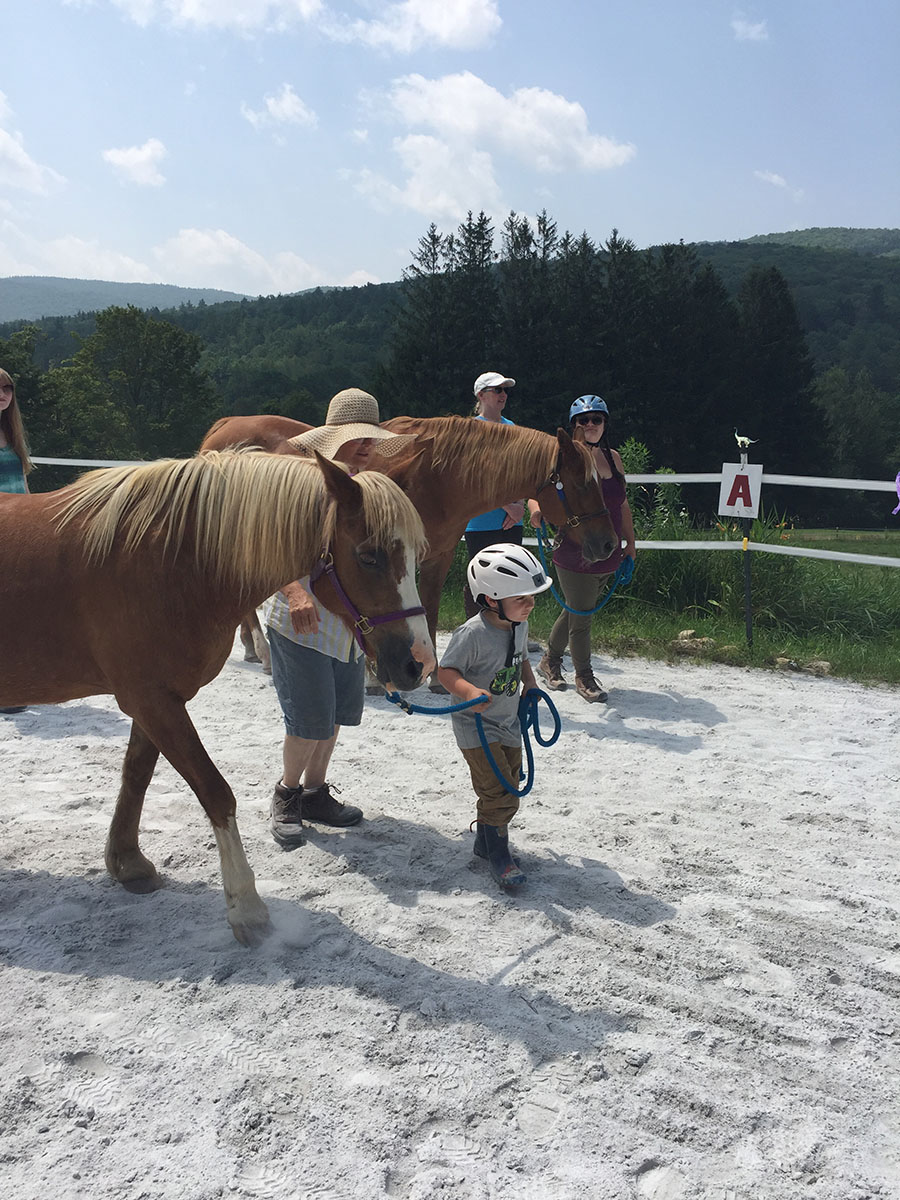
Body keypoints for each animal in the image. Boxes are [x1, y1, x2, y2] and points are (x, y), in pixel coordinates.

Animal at [0, 449, 434, 946]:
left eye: (415, 556)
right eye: (368, 556)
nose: (419, 663)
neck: (170, 559)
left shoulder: (153, 700)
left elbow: (136, 776)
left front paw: (128, 864)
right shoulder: (153, 700)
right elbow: (215, 791)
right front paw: (246, 907)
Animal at [200, 414, 619, 683]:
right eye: (581, 482)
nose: (608, 544)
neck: (438, 475)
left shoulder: (437, 556)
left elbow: (426, 609)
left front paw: (433, 676)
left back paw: (252, 648)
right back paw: (264, 653)